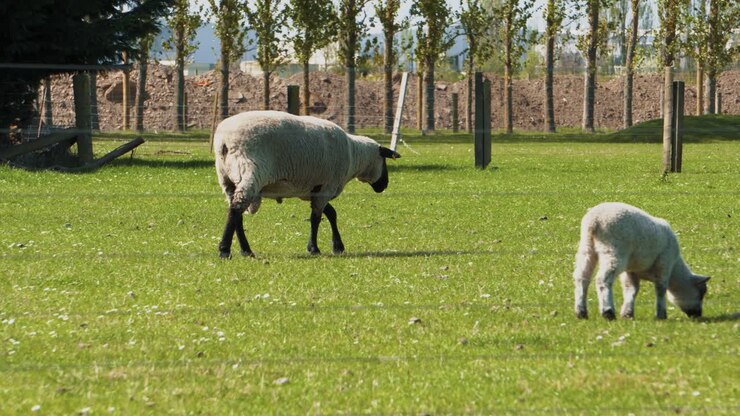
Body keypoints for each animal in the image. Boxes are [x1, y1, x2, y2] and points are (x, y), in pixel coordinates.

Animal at [213, 110, 400, 258]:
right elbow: (316, 218)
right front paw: (314, 248)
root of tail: (224, 141)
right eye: (384, 160)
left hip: (226, 179)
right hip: (250, 170)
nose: (385, 185)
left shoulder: (314, 189)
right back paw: (225, 250)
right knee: (237, 207)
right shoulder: (327, 186)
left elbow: (331, 213)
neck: (354, 155)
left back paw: (246, 250)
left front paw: (337, 246)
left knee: (235, 212)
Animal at [573, 202, 710, 320]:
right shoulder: (664, 264)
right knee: (603, 279)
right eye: (701, 292)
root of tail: (594, 221)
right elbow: (661, 289)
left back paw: (581, 312)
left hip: (587, 247)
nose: (698, 314)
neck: (675, 268)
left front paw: (627, 314)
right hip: (614, 249)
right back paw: (608, 312)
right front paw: (661, 315)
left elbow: (631, 289)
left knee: (582, 277)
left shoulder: (631, 271)